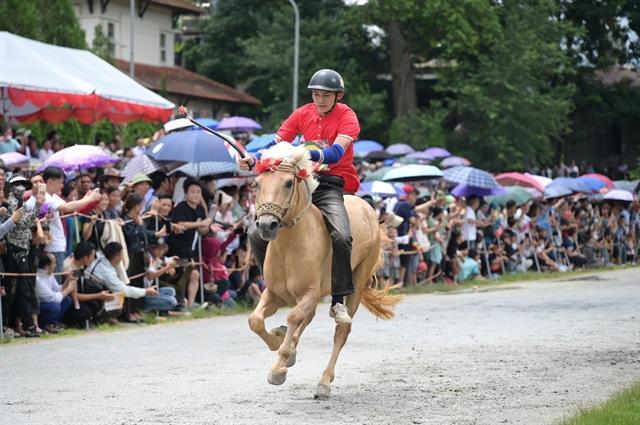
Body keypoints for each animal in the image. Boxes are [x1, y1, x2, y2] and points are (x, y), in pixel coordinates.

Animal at [247, 142, 402, 399]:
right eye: (257, 183)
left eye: (288, 183)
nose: (267, 225)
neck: (290, 244)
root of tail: (367, 208)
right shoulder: (274, 294)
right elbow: (256, 320)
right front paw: (280, 344)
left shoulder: (309, 295)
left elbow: (293, 317)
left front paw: (278, 368)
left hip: (356, 283)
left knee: (341, 331)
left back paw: (324, 382)